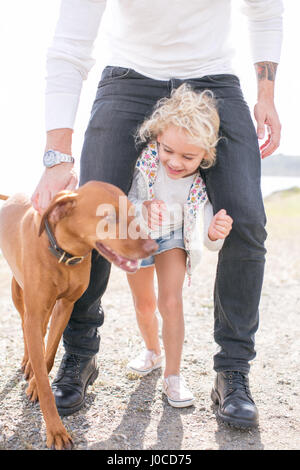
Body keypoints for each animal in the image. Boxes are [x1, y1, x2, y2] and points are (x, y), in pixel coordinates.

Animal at [0, 182, 158, 450]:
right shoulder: (35, 311)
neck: (63, 253)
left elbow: (49, 354)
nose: (153, 247)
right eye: (109, 217)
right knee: (24, 326)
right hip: (19, 295)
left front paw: (37, 380)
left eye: (132, 214)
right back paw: (27, 361)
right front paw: (55, 430)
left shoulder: (66, 306)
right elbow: (45, 381)